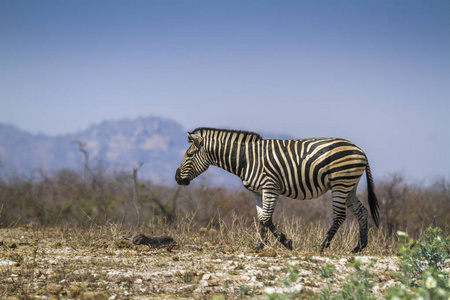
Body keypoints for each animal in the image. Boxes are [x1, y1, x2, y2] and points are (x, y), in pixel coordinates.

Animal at [174, 127, 378, 252]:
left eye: (189, 155)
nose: (176, 178)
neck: (246, 159)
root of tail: (360, 150)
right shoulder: (257, 191)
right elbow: (260, 217)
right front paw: (260, 246)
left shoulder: (270, 187)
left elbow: (266, 217)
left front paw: (286, 242)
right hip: (349, 186)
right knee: (361, 211)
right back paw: (359, 247)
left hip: (340, 183)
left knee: (340, 216)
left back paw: (322, 246)